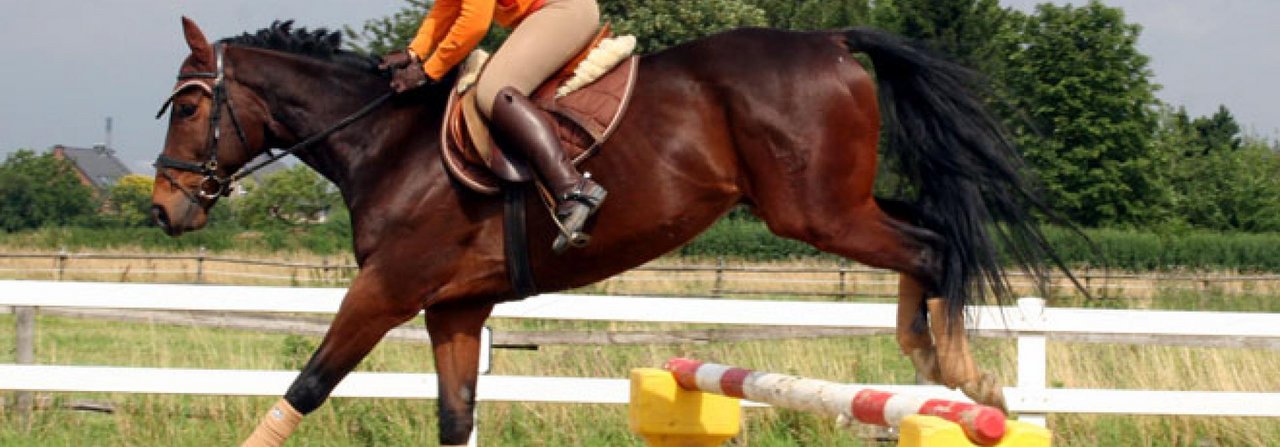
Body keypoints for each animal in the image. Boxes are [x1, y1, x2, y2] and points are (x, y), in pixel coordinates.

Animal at [147, 16, 1070, 443]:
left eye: (190, 105)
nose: (165, 208)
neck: (384, 140)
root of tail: (833, 38)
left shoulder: (387, 288)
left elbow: (307, 386)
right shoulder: (453, 308)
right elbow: (454, 416)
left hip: (815, 211)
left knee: (935, 245)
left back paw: (959, 372)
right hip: (834, 204)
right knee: (931, 227)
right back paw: (939, 363)